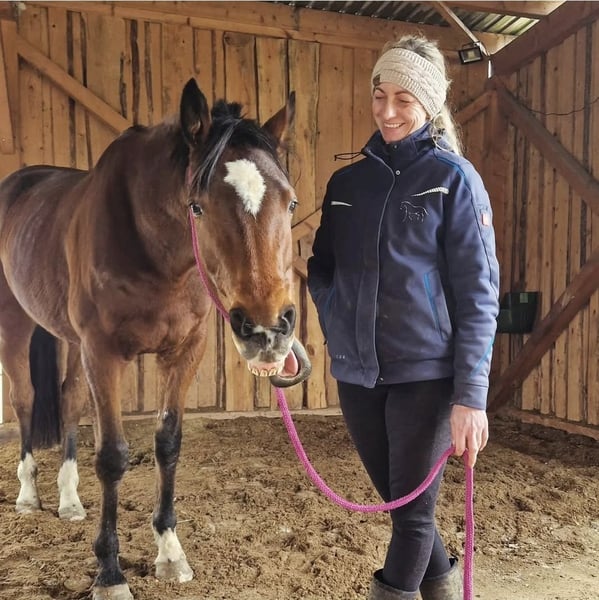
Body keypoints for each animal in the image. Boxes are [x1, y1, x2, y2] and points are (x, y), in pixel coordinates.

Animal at [0, 78, 311, 600]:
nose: (268, 329)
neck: (152, 248)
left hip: (68, 341)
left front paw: (170, 552)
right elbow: (112, 456)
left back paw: (68, 500)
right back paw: (28, 495)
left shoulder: (183, 353)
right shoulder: (103, 354)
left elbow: (168, 444)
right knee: (25, 401)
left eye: (289, 201)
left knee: (67, 402)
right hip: (16, 324)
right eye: (197, 206)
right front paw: (109, 572)